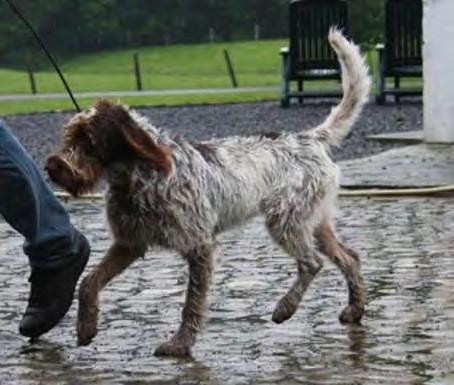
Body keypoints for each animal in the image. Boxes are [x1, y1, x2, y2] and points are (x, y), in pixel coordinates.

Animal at [46, 29, 370, 356]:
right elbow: (89, 281)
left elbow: (192, 302)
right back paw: (354, 310)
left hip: (285, 220)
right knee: (349, 257)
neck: (137, 178)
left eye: (89, 142)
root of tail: (310, 138)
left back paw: (285, 308)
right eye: (69, 136)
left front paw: (180, 343)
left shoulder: (199, 245)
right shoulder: (129, 243)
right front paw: (86, 326)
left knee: (311, 263)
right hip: (314, 222)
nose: (52, 167)